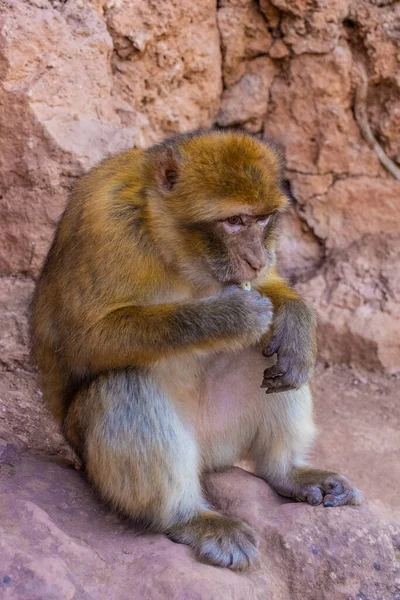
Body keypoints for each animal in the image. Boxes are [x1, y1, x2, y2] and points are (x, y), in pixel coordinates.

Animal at [30, 129, 362, 568]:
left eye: (262, 219)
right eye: (234, 221)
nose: (255, 258)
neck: (166, 238)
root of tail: (207, 459)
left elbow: (271, 294)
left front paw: (295, 319)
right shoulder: (103, 222)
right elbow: (81, 342)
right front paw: (229, 316)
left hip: (225, 437)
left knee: (264, 356)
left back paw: (286, 470)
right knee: (123, 383)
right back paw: (188, 517)